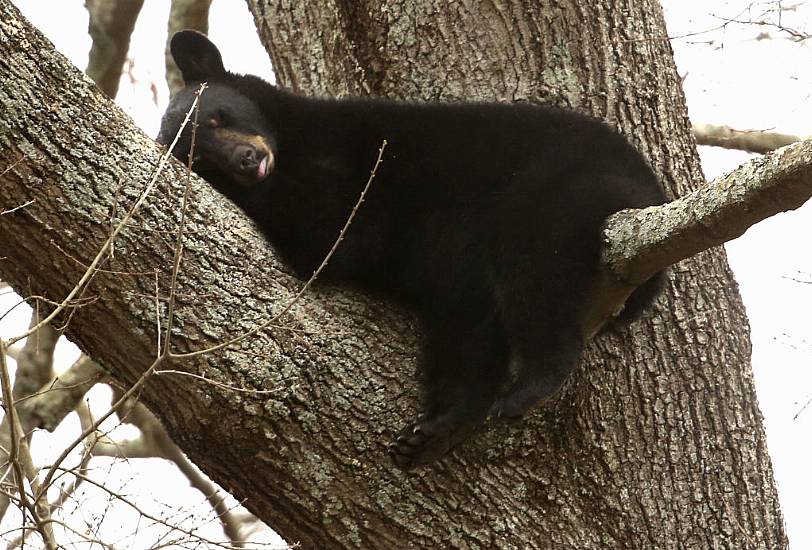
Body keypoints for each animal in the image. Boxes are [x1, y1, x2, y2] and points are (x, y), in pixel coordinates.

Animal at [159, 29, 668, 470]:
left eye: (219, 117)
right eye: (198, 157)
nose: (247, 162)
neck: (297, 145)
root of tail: (649, 190)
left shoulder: (360, 160)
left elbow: (338, 234)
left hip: (558, 192)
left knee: (534, 276)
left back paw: (532, 385)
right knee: (467, 330)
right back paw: (437, 432)